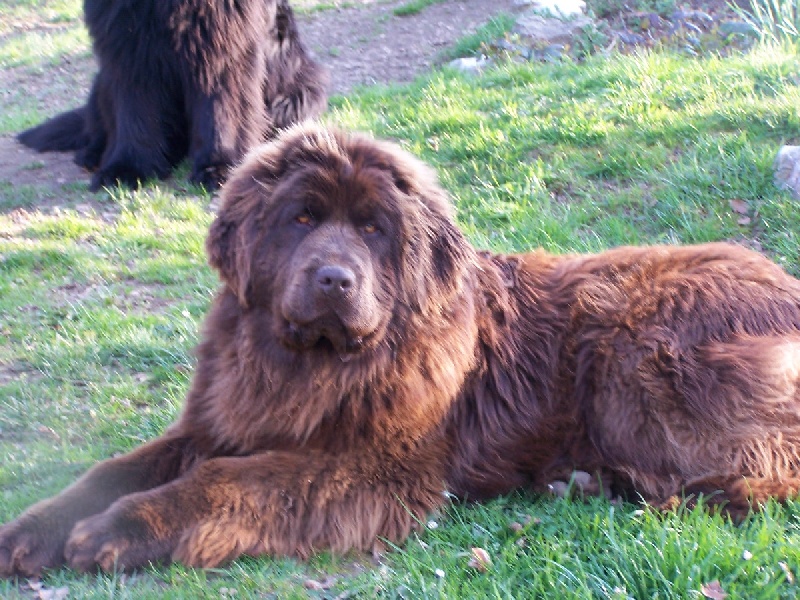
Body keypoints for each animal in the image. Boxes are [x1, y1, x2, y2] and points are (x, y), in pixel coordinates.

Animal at [1, 123, 800, 576]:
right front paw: (34, 532)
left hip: (638, 353)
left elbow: (228, 482)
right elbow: (112, 469)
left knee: (769, 469)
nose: (334, 278)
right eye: (300, 219)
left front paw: (119, 532)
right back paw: (587, 481)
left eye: (373, 228)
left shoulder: (370, 465)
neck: (310, 366)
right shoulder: (217, 421)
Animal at [18, 0, 324, 190]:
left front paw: (220, 167)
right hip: (100, 83)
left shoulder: (222, 47)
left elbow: (221, 112)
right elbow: (135, 115)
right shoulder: (129, 49)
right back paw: (93, 155)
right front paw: (127, 168)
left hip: (300, 93)